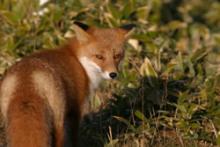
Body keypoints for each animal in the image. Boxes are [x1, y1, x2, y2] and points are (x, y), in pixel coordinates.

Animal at [0, 21, 136, 146]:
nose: (113, 74)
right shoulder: (76, 109)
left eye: (116, 56)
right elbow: (73, 139)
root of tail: (29, 77)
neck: (79, 61)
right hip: (59, 122)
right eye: (99, 56)